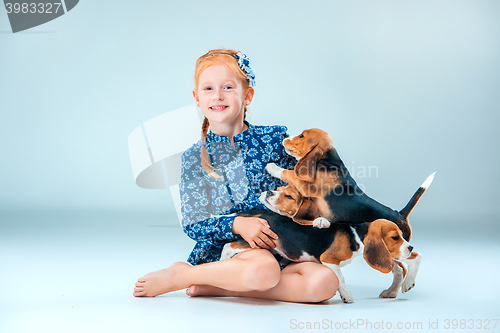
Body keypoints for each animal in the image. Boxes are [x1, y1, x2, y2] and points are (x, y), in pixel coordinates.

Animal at [221, 209, 420, 302]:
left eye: (402, 235)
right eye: (395, 237)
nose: (410, 247)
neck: (356, 234)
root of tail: (260, 213)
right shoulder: (329, 260)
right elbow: (340, 279)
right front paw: (347, 296)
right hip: (255, 241)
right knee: (228, 245)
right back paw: (222, 261)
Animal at [266, 127, 434, 241]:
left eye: (301, 135)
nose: (286, 135)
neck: (327, 160)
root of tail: (400, 214)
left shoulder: (306, 186)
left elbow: (288, 173)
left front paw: (272, 167)